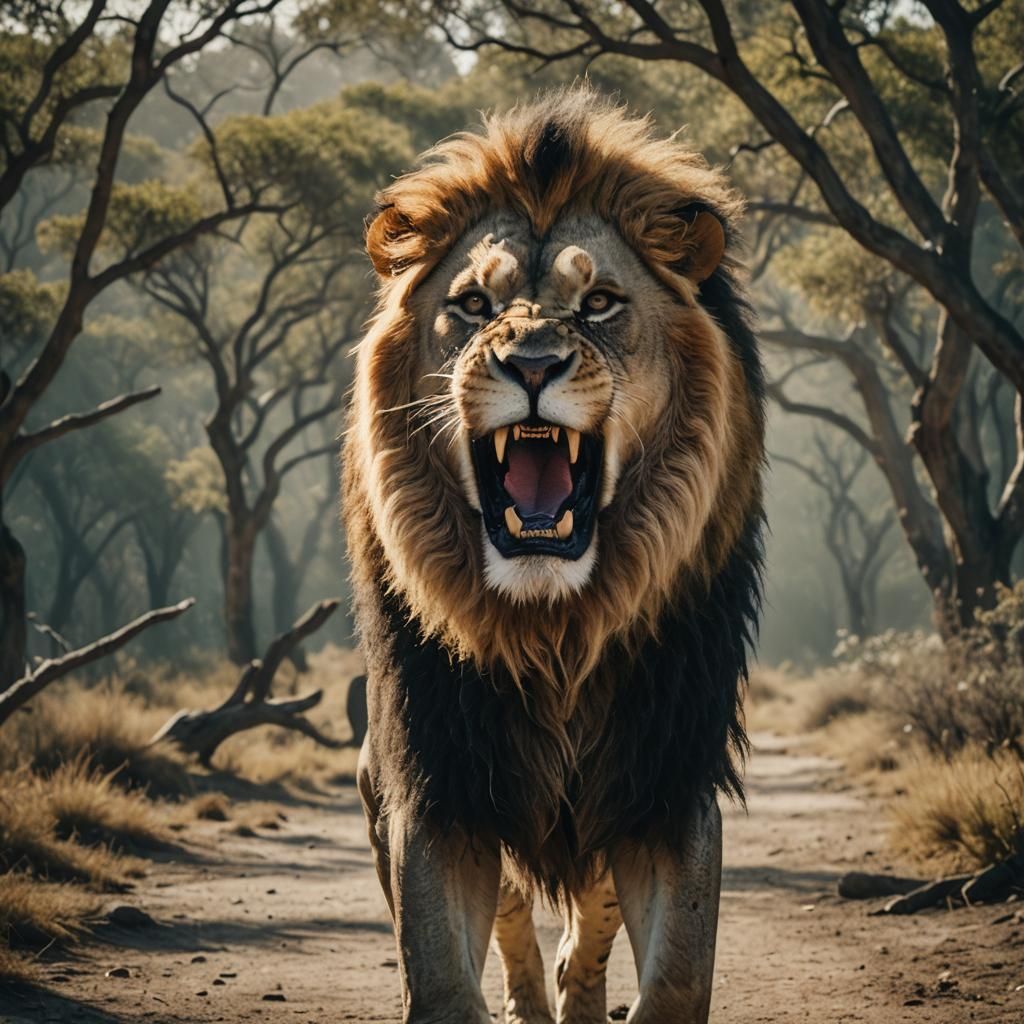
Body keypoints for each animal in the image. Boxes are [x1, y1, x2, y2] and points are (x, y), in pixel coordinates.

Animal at [342, 88, 765, 1024]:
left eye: (600, 301)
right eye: (471, 304)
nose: (531, 363)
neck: (553, 630)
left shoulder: (666, 779)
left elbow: (677, 976)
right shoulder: (433, 783)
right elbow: (441, 977)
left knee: (589, 915)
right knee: (510, 914)